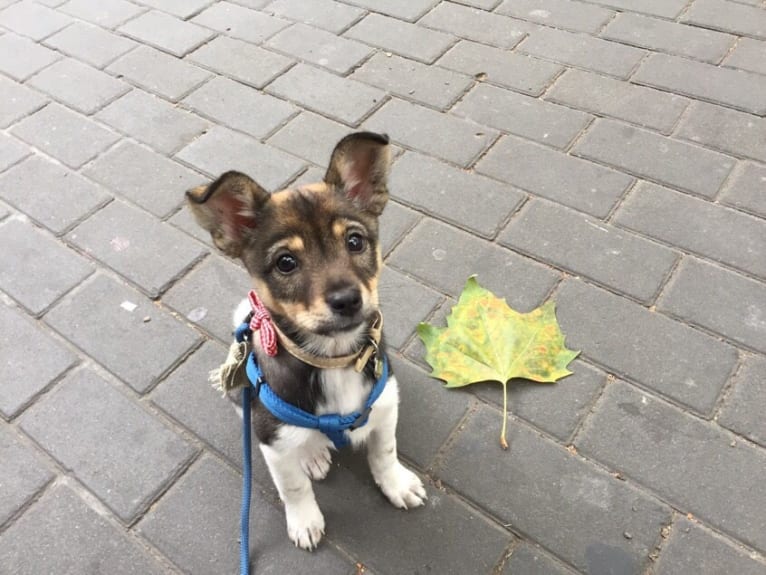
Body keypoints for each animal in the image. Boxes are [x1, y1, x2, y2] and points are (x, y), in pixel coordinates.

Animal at [184, 133, 426, 552]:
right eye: (285, 262)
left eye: (355, 241)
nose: (347, 300)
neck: (334, 360)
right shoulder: (272, 441)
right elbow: (293, 488)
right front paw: (305, 521)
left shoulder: (385, 404)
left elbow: (384, 451)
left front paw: (396, 484)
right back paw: (312, 454)